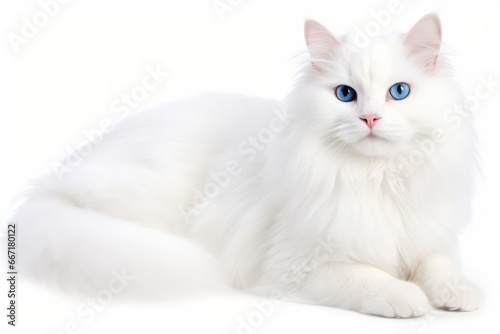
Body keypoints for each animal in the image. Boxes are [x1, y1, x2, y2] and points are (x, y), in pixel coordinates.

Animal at [10, 15, 480, 318]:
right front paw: (408, 299)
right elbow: (367, 279)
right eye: (345, 94)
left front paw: (459, 293)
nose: (370, 119)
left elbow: (440, 266)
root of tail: (48, 185)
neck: (377, 179)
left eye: (399, 92)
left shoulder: (428, 235)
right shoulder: (297, 266)